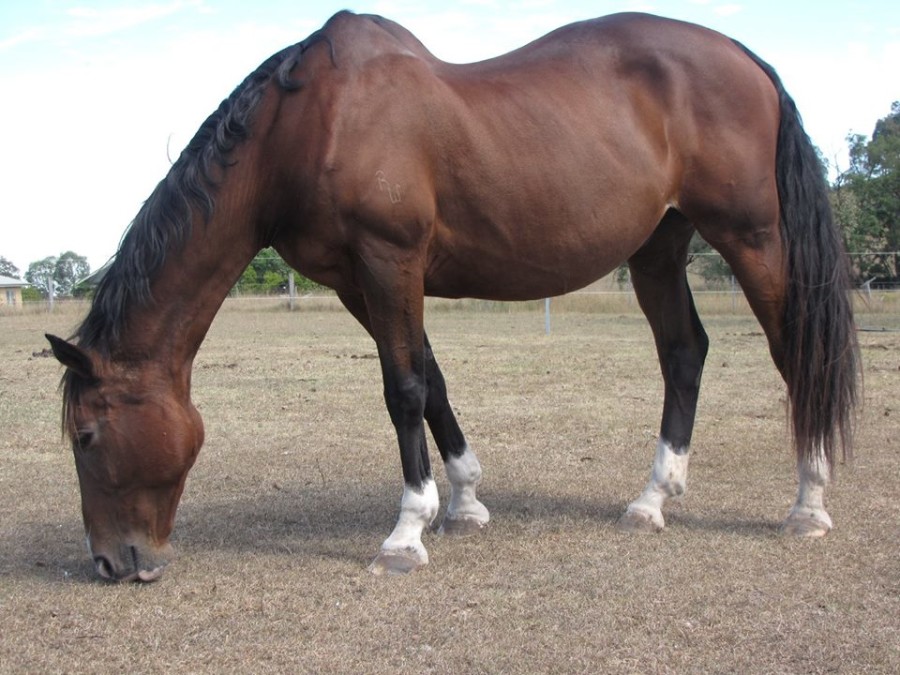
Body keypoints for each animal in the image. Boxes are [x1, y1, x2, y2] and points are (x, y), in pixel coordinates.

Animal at [47, 11, 858, 582]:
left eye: (86, 436)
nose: (110, 562)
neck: (310, 124)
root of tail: (746, 58)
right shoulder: (358, 281)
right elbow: (430, 379)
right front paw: (464, 502)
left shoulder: (388, 260)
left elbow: (403, 389)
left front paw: (407, 533)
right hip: (658, 247)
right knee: (685, 351)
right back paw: (652, 500)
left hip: (752, 237)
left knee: (794, 354)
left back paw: (809, 505)